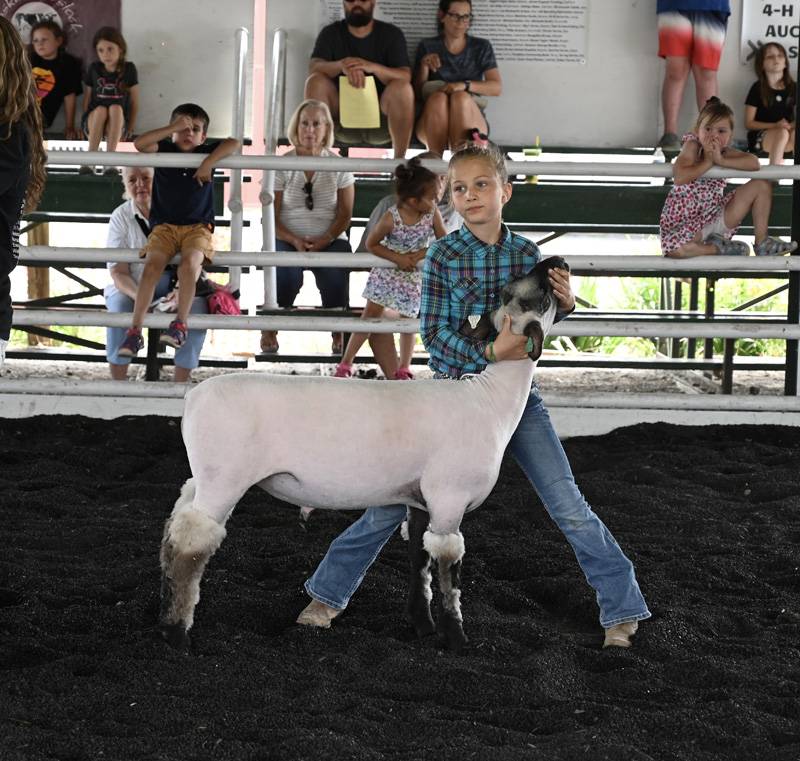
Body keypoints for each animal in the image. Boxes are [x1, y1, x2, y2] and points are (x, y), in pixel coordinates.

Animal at [159, 258, 564, 652]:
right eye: (535, 295)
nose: (556, 262)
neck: (490, 399)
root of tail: (193, 398)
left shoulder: (419, 501)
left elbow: (420, 562)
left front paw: (423, 627)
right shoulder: (449, 498)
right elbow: (449, 571)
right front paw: (457, 639)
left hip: (204, 478)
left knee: (175, 531)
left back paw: (166, 612)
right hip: (224, 480)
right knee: (191, 547)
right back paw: (178, 635)